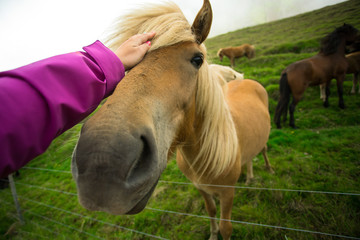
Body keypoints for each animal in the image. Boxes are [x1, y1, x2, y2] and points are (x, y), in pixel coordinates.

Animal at [71, 0, 272, 239]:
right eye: (127, 67)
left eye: (198, 59)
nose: (101, 162)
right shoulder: (202, 189)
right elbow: (211, 211)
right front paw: (212, 234)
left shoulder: (227, 193)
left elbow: (226, 227)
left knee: (263, 150)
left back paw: (269, 169)